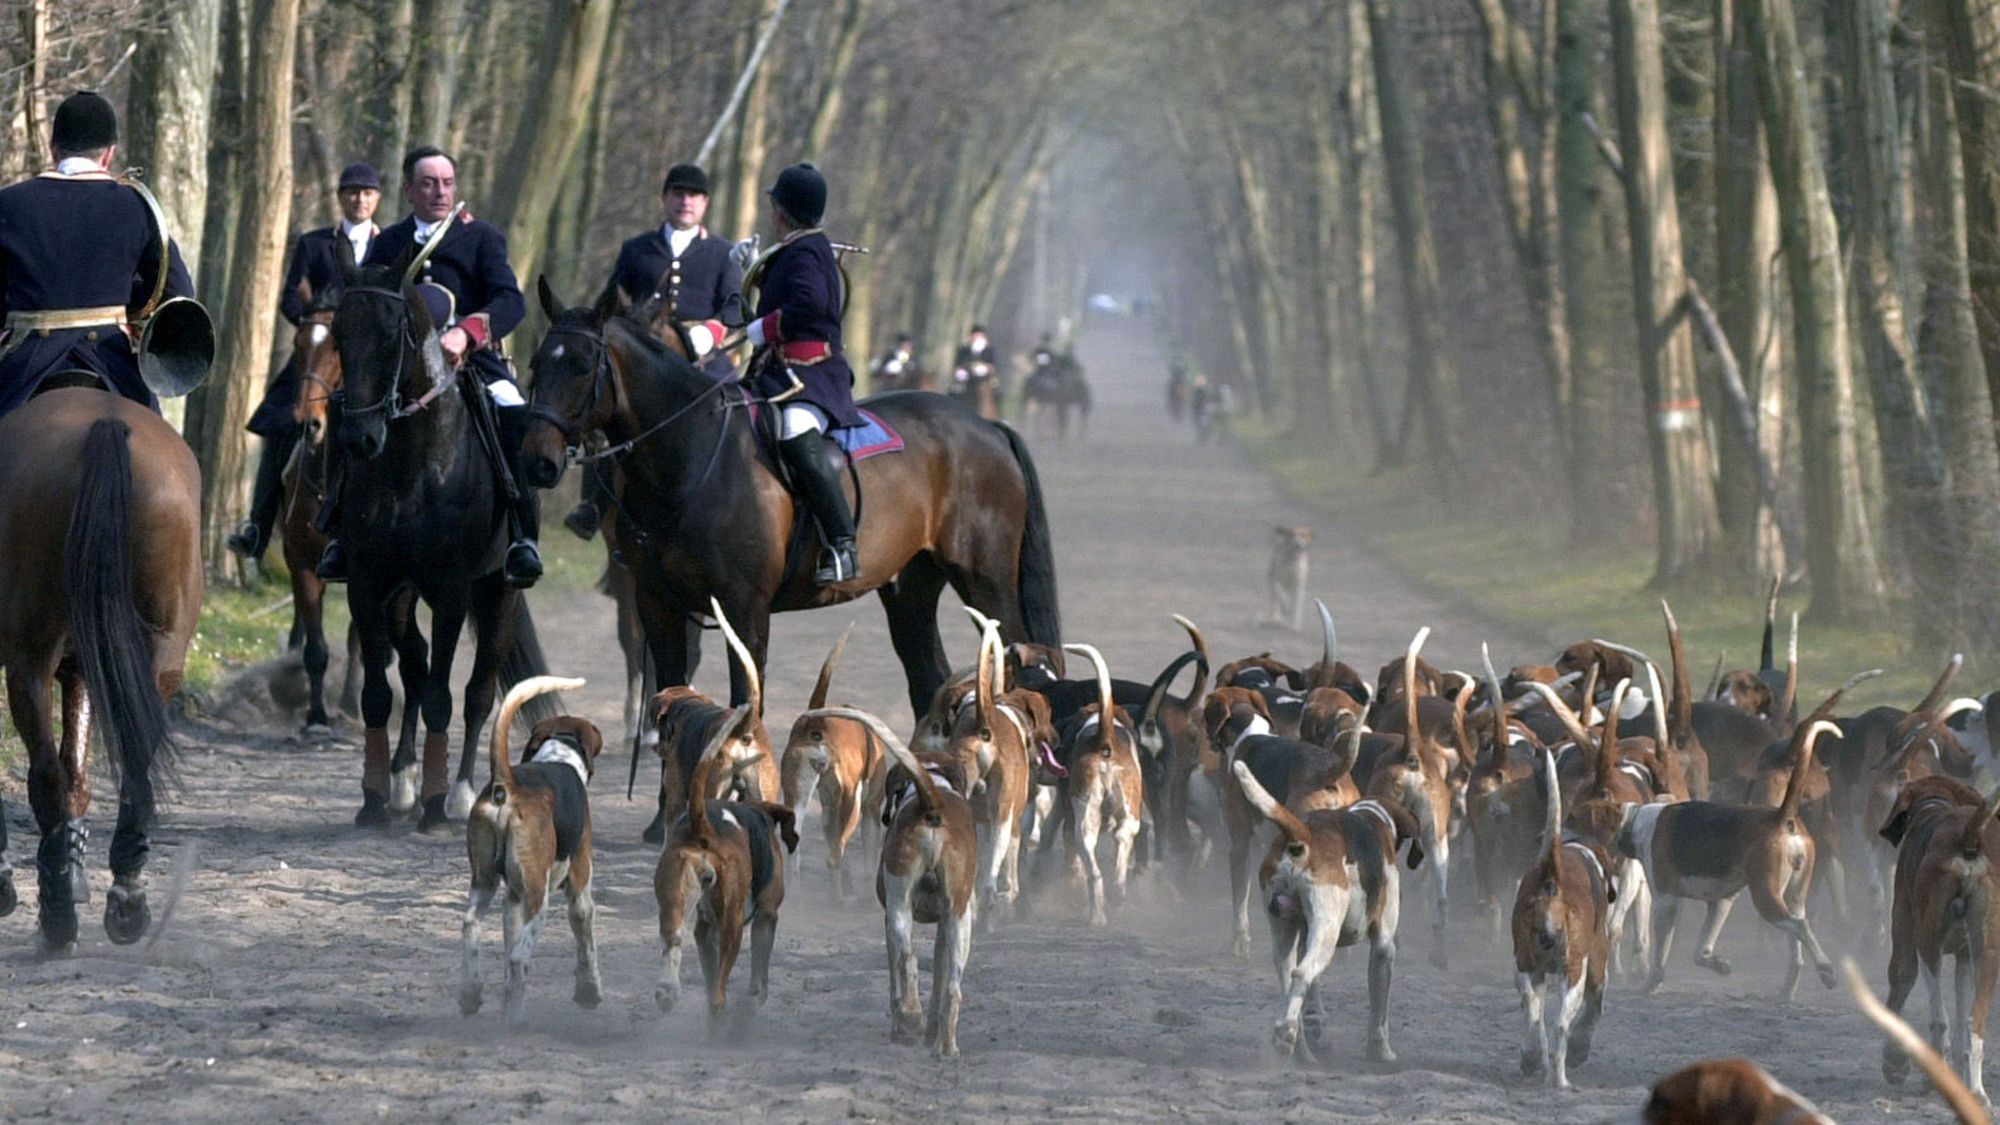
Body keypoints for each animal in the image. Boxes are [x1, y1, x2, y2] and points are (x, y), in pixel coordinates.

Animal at [0, 384, 203, 944]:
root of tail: (104, 424)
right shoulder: (86, 663)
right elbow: (79, 769)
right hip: (158, 650)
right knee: (132, 761)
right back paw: (127, 898)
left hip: (30, 656)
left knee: (46, 773)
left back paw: (57, 919)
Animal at [524, 278, 1072, 712]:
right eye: (535, 363)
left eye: (581, 365)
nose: (539, 459)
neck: (691, 453)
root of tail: (987, 427)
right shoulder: (656, 603)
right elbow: (670, 697)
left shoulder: (744, 610)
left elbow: (742, 708)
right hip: (910, 588)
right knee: (928, 679)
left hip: (985, 581)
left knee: (1017, 667)